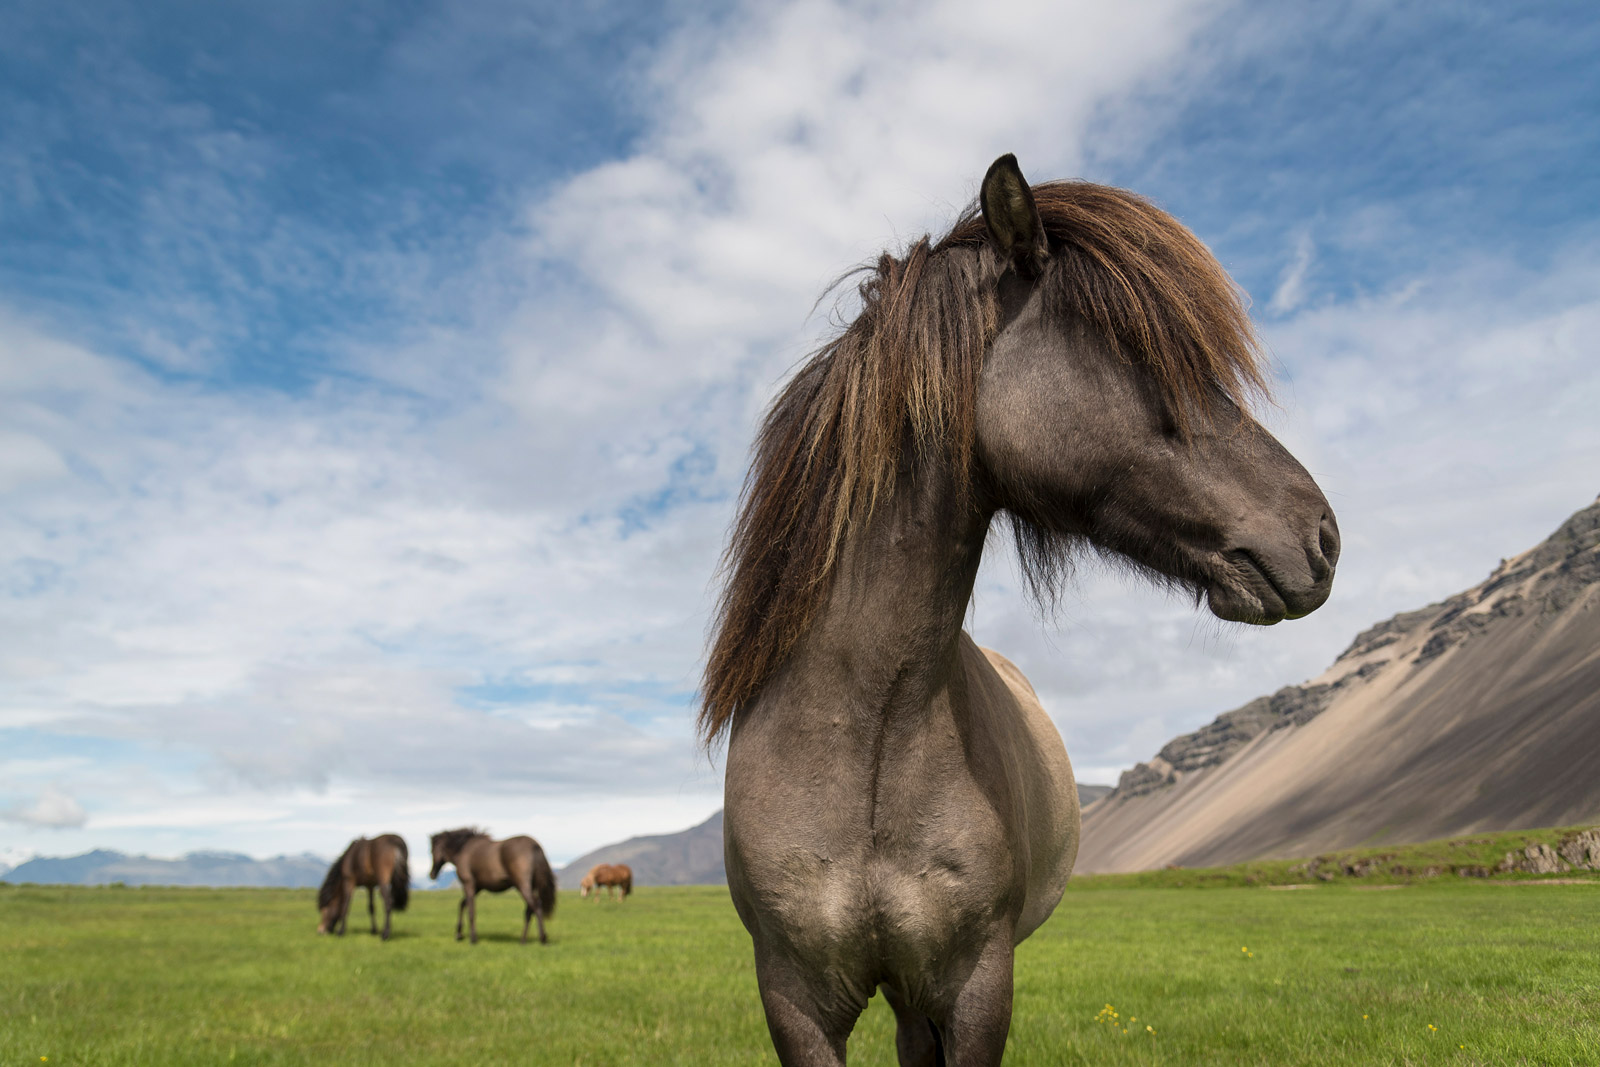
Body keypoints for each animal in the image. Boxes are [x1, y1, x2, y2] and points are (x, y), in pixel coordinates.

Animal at [428, 825, 560, 940]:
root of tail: (534, 845)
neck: (463, 850)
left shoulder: (468, 884)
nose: (432, 874)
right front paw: (459, 934)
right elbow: (462, 904)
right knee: (529, 910)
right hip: (529, 886)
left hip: (522, 886)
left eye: (432, 851)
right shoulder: (478, 887)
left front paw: (472, 938)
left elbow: (471, 910)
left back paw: (542, 938)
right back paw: (523, 940)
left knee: (536, 906)